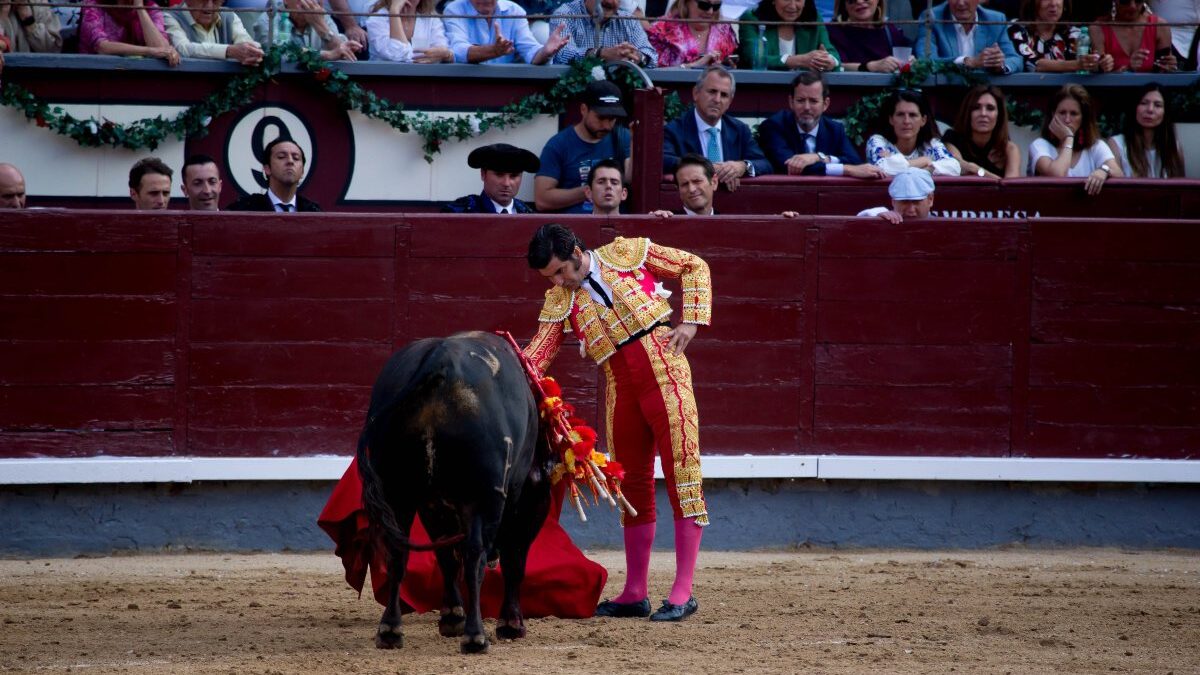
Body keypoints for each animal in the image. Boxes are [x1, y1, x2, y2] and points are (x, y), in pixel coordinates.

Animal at [350, 331, 552, 653]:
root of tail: (439, 358)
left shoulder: (432, 504)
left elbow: (444, 555)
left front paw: (451, 616)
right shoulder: (518, 502)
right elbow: (513, 560)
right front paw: (510, 624)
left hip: (396, 492)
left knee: (397, 553)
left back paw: (390, 630)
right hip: (479, 499)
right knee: (474, 557)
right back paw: (475, 636)